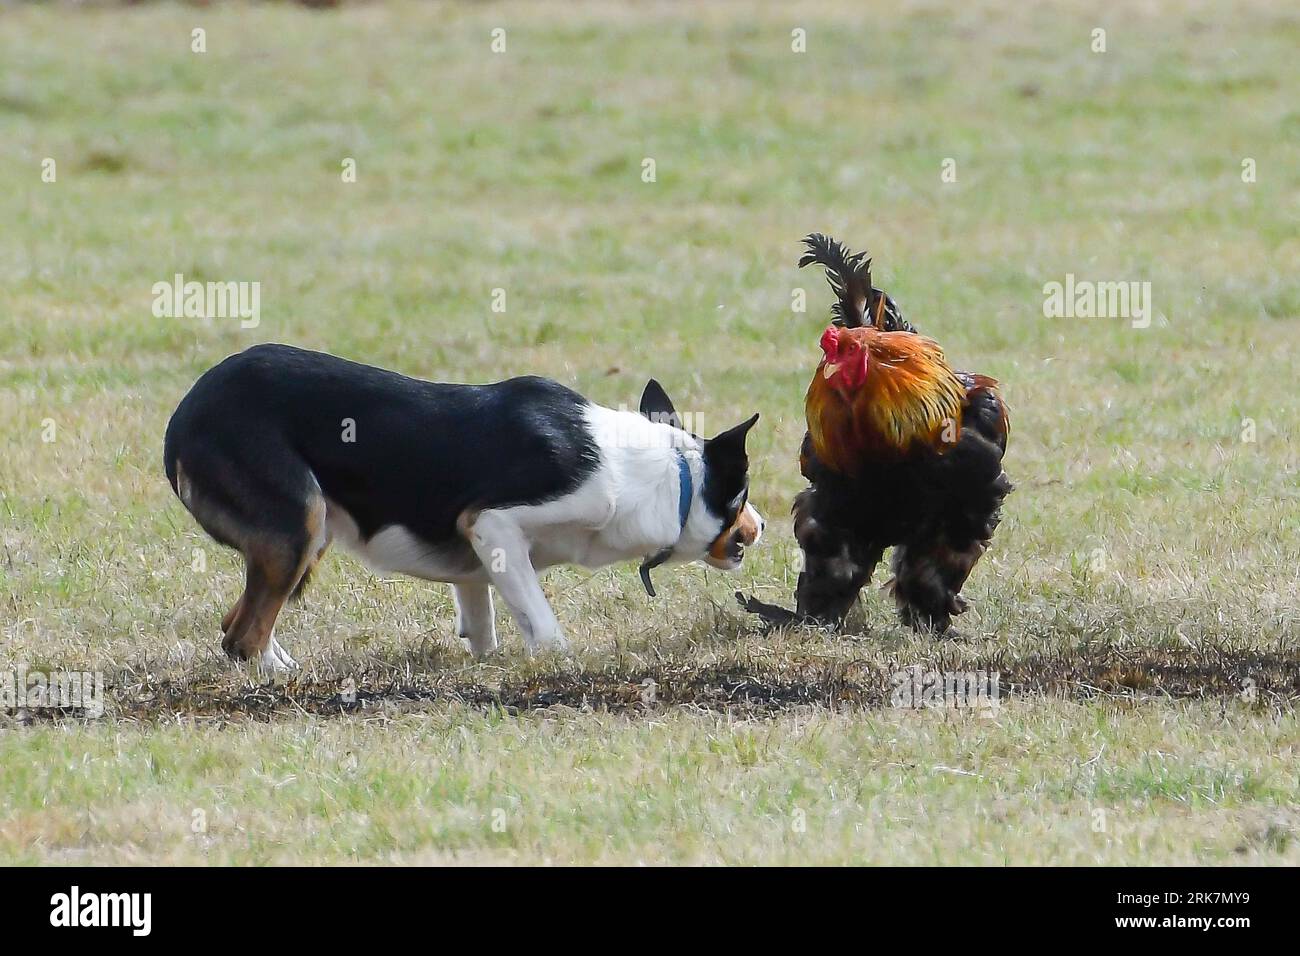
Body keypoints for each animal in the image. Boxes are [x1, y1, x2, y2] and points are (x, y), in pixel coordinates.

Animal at [167, 348, 764, 671]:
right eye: (741, 495)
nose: (760, 526)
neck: (661, 476)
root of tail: (183, 416)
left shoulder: (482, 561)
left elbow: (484, 628)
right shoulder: (492, 522)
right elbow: (546, 630)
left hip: (303, 539)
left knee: (237, 625)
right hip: (301, 525)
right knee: (242, 638)